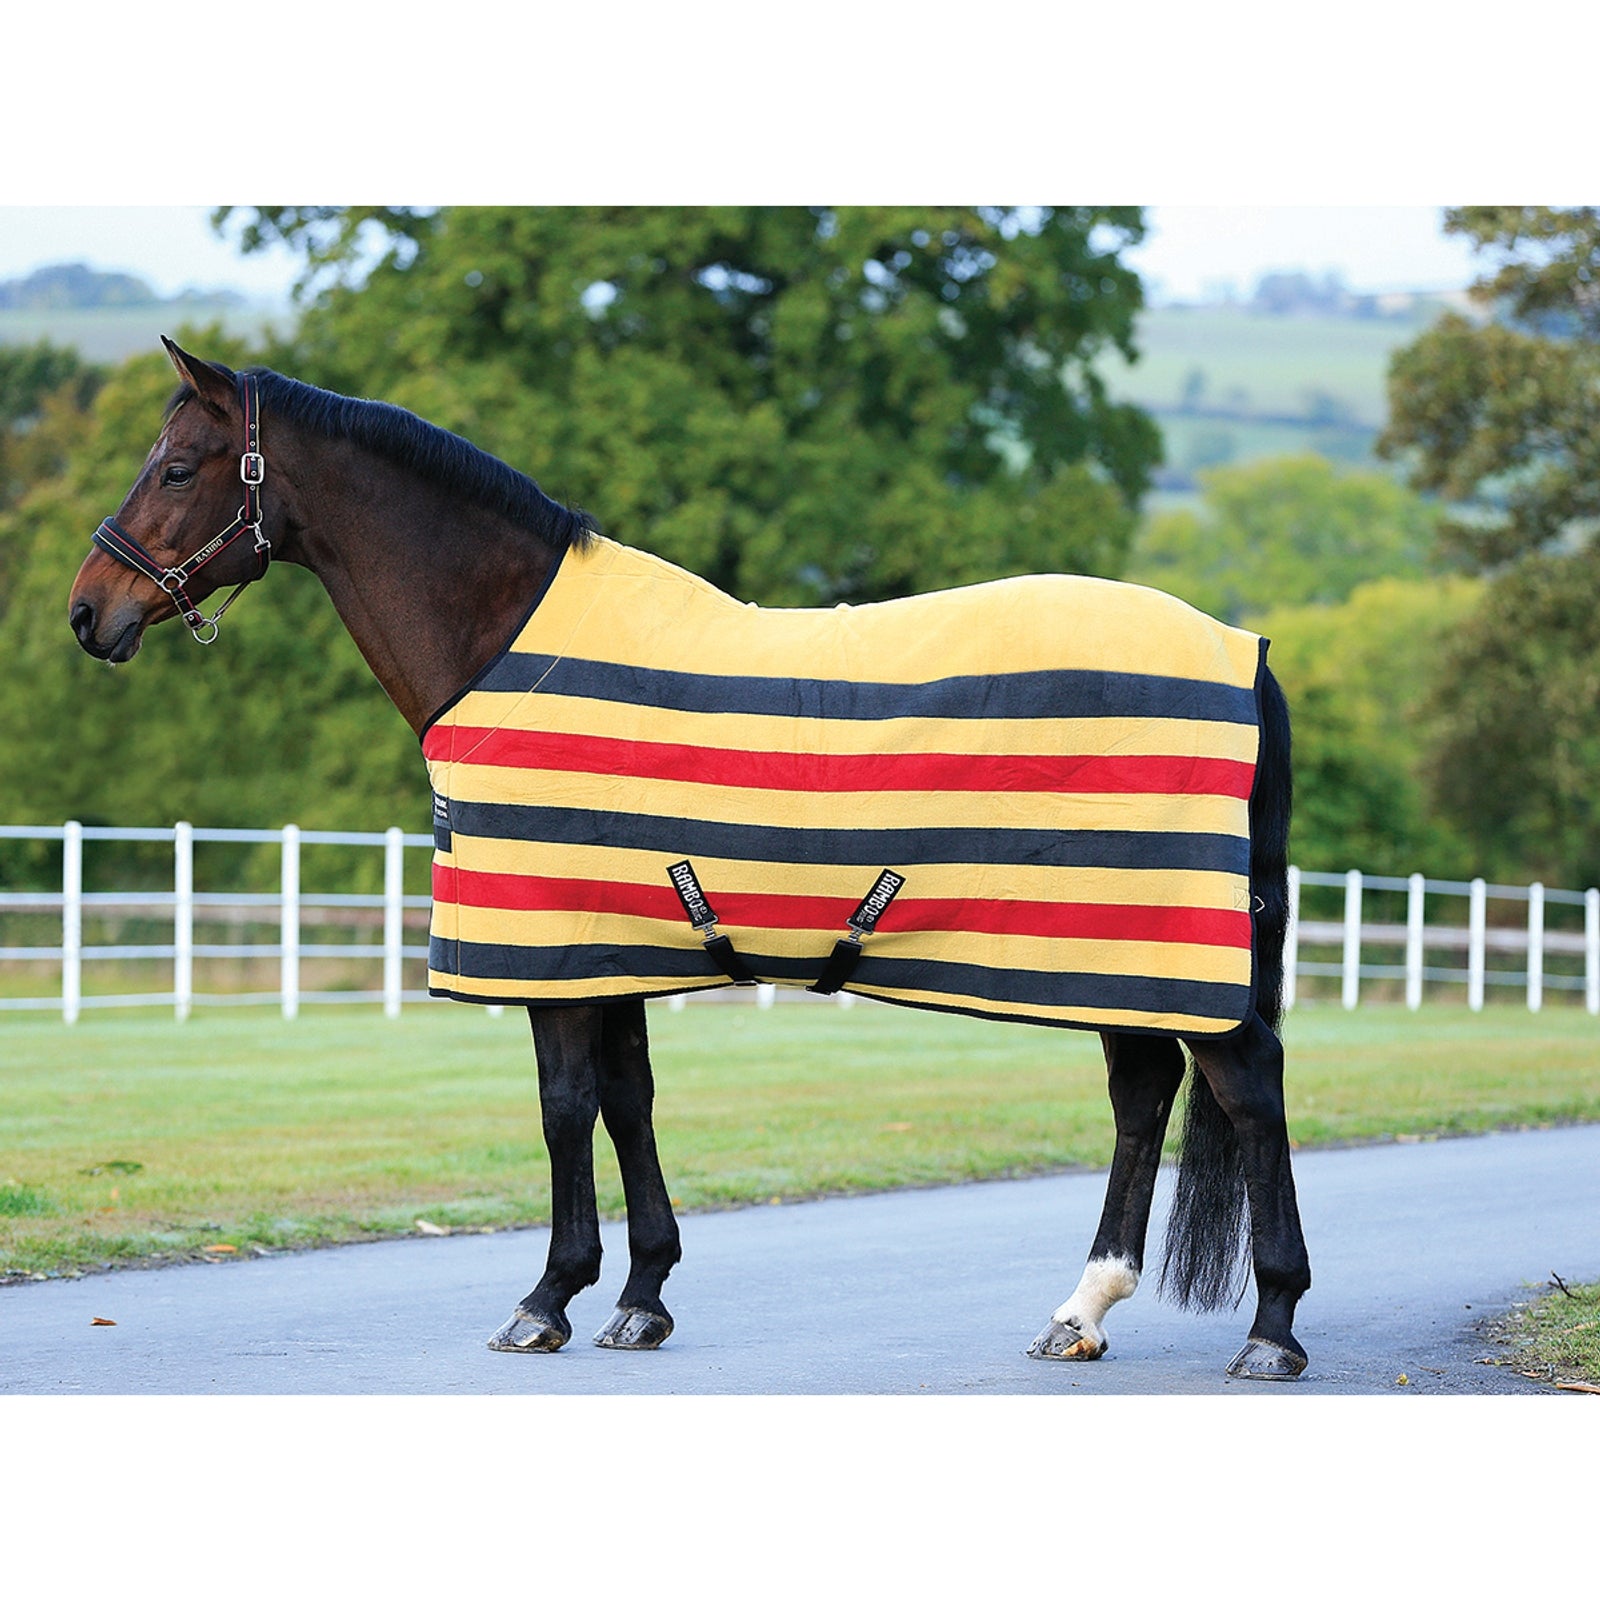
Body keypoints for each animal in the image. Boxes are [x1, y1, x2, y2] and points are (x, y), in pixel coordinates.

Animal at [67, 339, 1311, 1379]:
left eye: (179, 467)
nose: (88, 612)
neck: (506, 639)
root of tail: (1239, 650)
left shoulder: (553, 946)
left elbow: (564, 1108)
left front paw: (546, 1301)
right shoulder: (607, 947)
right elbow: (629, 1103)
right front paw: (641, 1297)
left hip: (1151, 940)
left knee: (1244, 1087)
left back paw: (1271, 1327)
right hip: (1113, 948)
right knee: (1144, 1092)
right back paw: (1081, 1310)